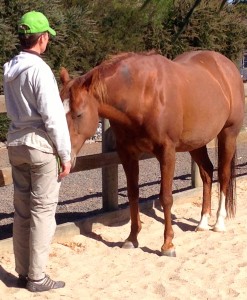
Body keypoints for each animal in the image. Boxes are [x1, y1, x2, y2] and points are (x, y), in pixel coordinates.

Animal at [59, 51, 245, 255]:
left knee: (224, 175)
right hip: (196, 142)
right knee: (207, 173)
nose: (63, 158)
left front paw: (168, 244)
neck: (143, 95)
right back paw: (202, 223)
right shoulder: (128, 154)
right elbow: (133, 194)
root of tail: (227, 66)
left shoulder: (167, 152)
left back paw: (219, 223)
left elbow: (166, 197)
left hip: (228, 134)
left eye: (78, 114)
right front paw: (132, 238)